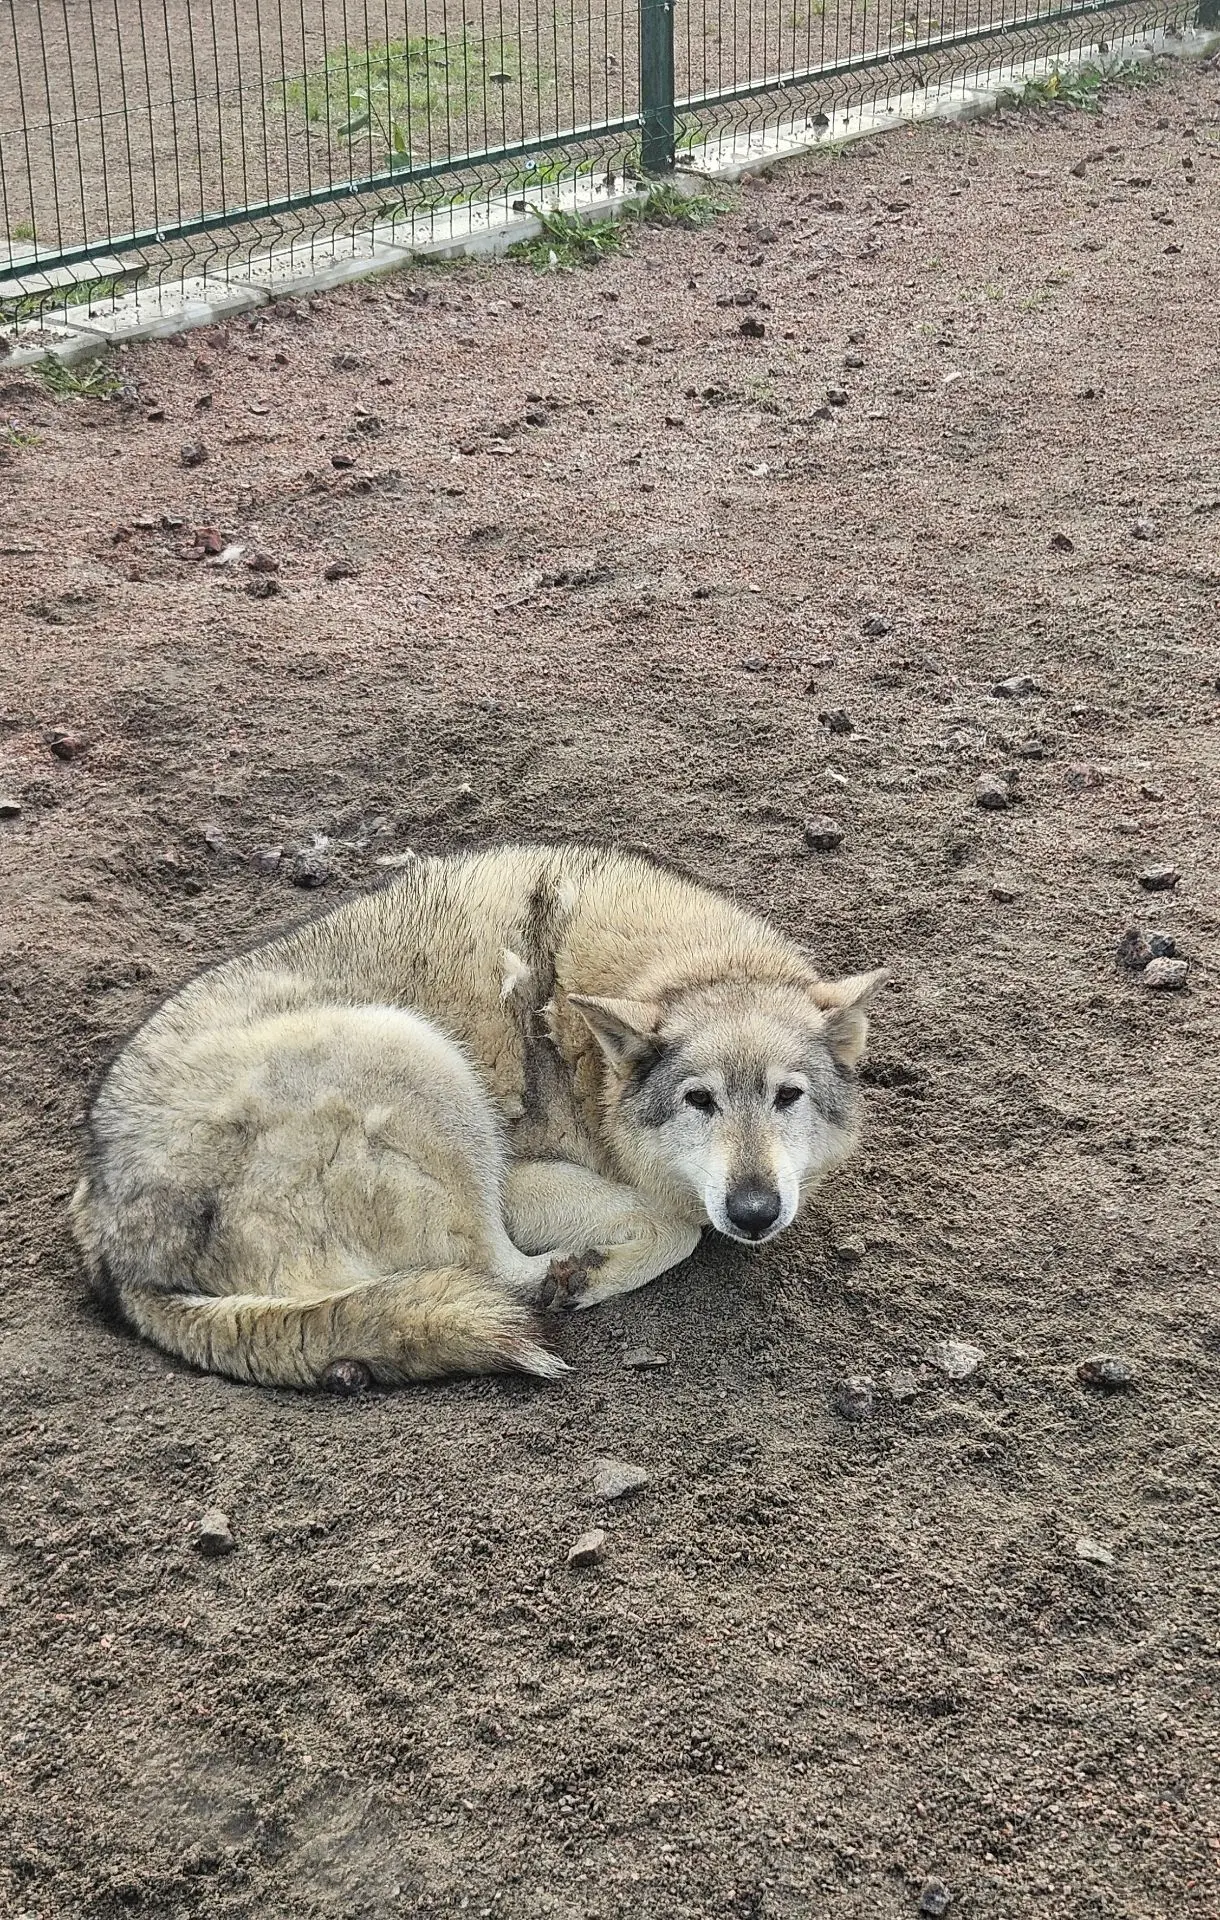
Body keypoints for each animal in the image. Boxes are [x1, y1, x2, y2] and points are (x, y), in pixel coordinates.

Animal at [70, 843, 884, 1391]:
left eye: (788, 1096)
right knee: (498, 1271)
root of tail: (116, 1251)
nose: (754, 1211)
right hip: (415, 1054)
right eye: (700, 1100)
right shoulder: (524, 1178)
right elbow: (674, 1226)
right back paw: (567, 1278)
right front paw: (598, 1265)